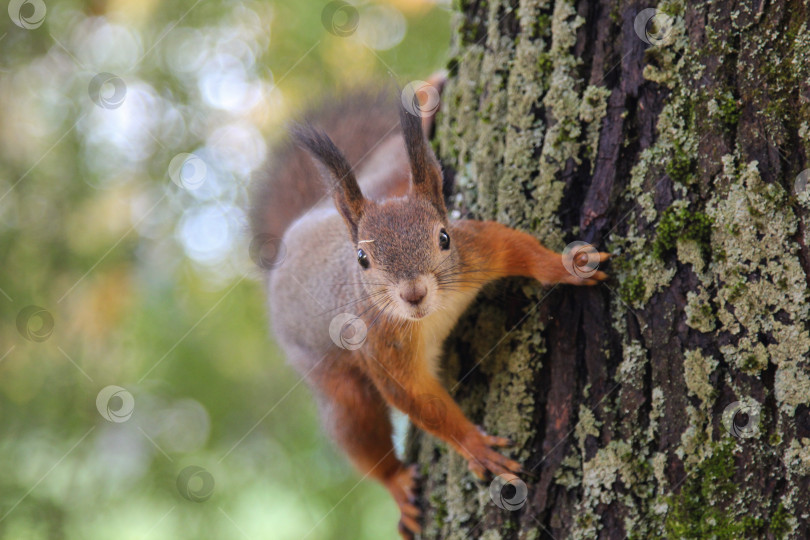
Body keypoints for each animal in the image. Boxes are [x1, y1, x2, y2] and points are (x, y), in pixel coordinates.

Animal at [249, 74, 608, 536]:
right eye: (362, 259)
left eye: (443, 237)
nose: (413, 293)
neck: (430, 315)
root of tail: (287, 248)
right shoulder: (380, 348)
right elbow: (420, 401)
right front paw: (475, 446)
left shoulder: (476, 251)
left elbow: (517, 247)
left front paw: (567, 265)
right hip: (328, 374)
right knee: (357, 427)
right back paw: (397, 483)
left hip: (387, 183)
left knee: (391, 164)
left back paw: (424, 99)